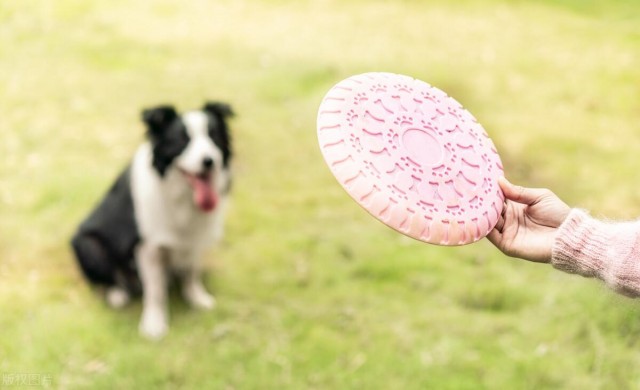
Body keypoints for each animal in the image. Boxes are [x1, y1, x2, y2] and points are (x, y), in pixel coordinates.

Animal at [72, 102, 232, 340]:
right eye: (182, 140)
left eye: (214, 137)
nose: (209, 161)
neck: (181, 198)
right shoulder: (147, 246)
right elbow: (155, 290)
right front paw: (154, 324)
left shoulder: (195, 237)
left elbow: (191, 272)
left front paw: (196, 298)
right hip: (87, 243)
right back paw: (117, 294)